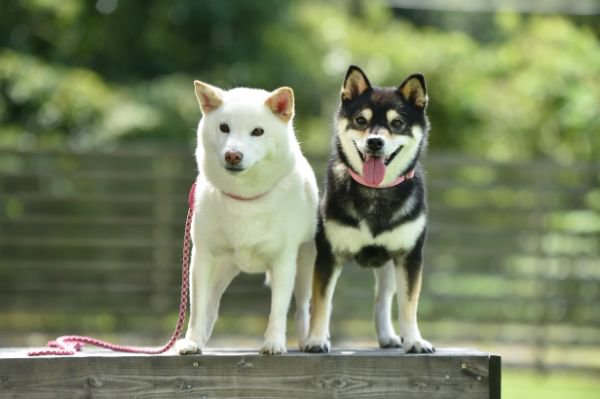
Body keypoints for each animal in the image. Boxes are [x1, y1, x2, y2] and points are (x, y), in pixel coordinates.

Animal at [176, 81, 318, 356]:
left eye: (258, 132)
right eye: (224, 127)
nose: (233, 155)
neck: (245, 199)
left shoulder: (284, 261)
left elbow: (278, 310)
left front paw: (274, 343)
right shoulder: (202, 258)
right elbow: (197, 308)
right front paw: (192, 341)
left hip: (306, 262)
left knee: (303, 307)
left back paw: (309, 340)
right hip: (222, 267)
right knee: (210, 305)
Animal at [302, 66, 434, 356]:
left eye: (397, 123)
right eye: (361, 120)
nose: (375, 142)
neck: (376, 192)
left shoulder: (409, 256)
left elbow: (409, 305)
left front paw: (414, 340)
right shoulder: (328, 255)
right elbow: (322, 302)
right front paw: (316, 339)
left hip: (389, 265)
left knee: (382, 299)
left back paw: (388, 337)